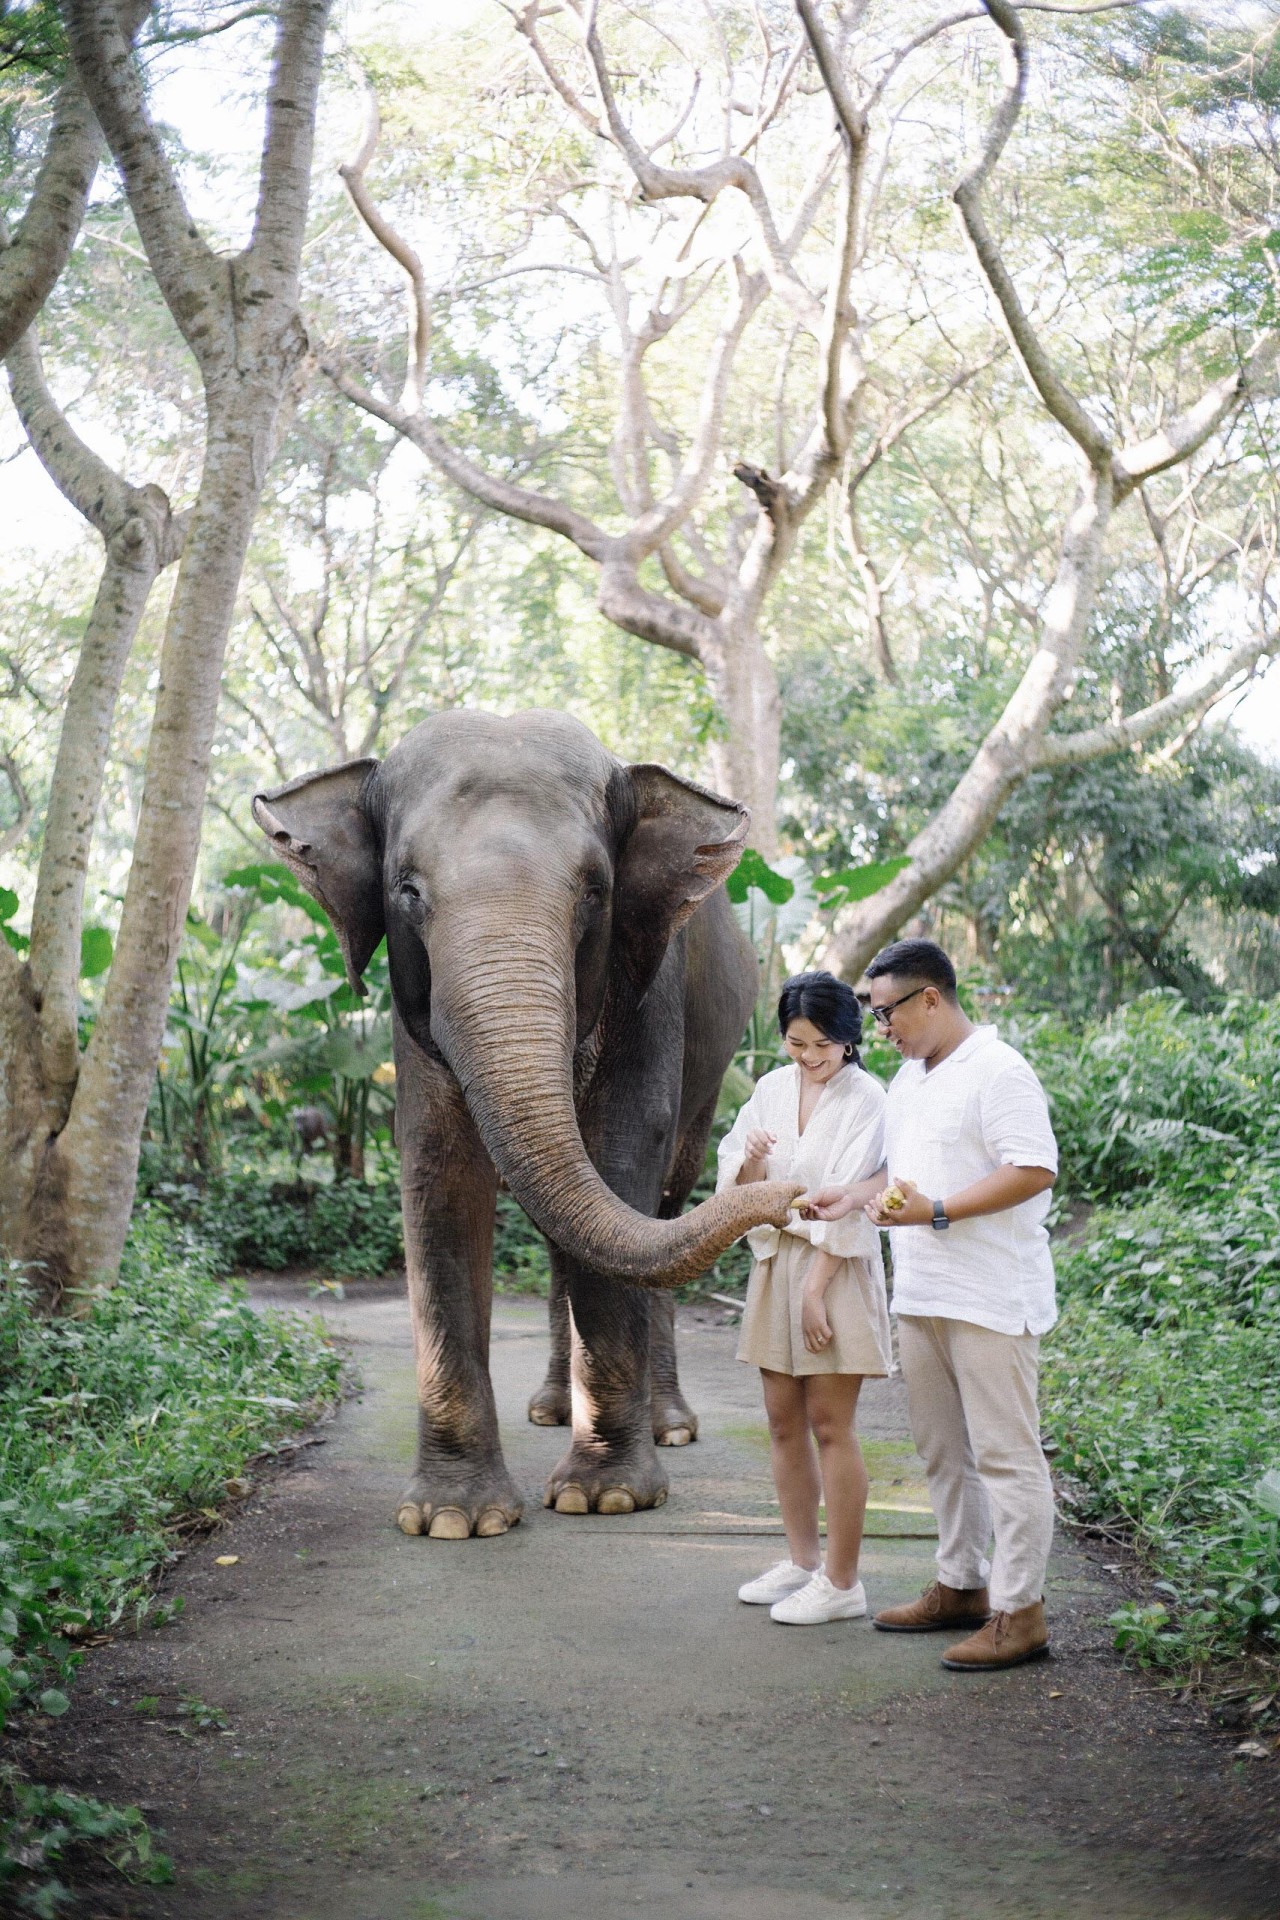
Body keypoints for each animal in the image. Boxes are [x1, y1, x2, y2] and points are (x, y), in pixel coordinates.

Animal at [252, 709, 799, 1537]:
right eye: (405, 890)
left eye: (596, 891)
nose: (796, 1195)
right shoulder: (409, 1017)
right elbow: (437, 1171)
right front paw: (452, 1518)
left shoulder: (651, 985)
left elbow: (620, 1154)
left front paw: (605, 1497)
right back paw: (550, 1409)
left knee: (663, 1202)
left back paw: (666, 1422)